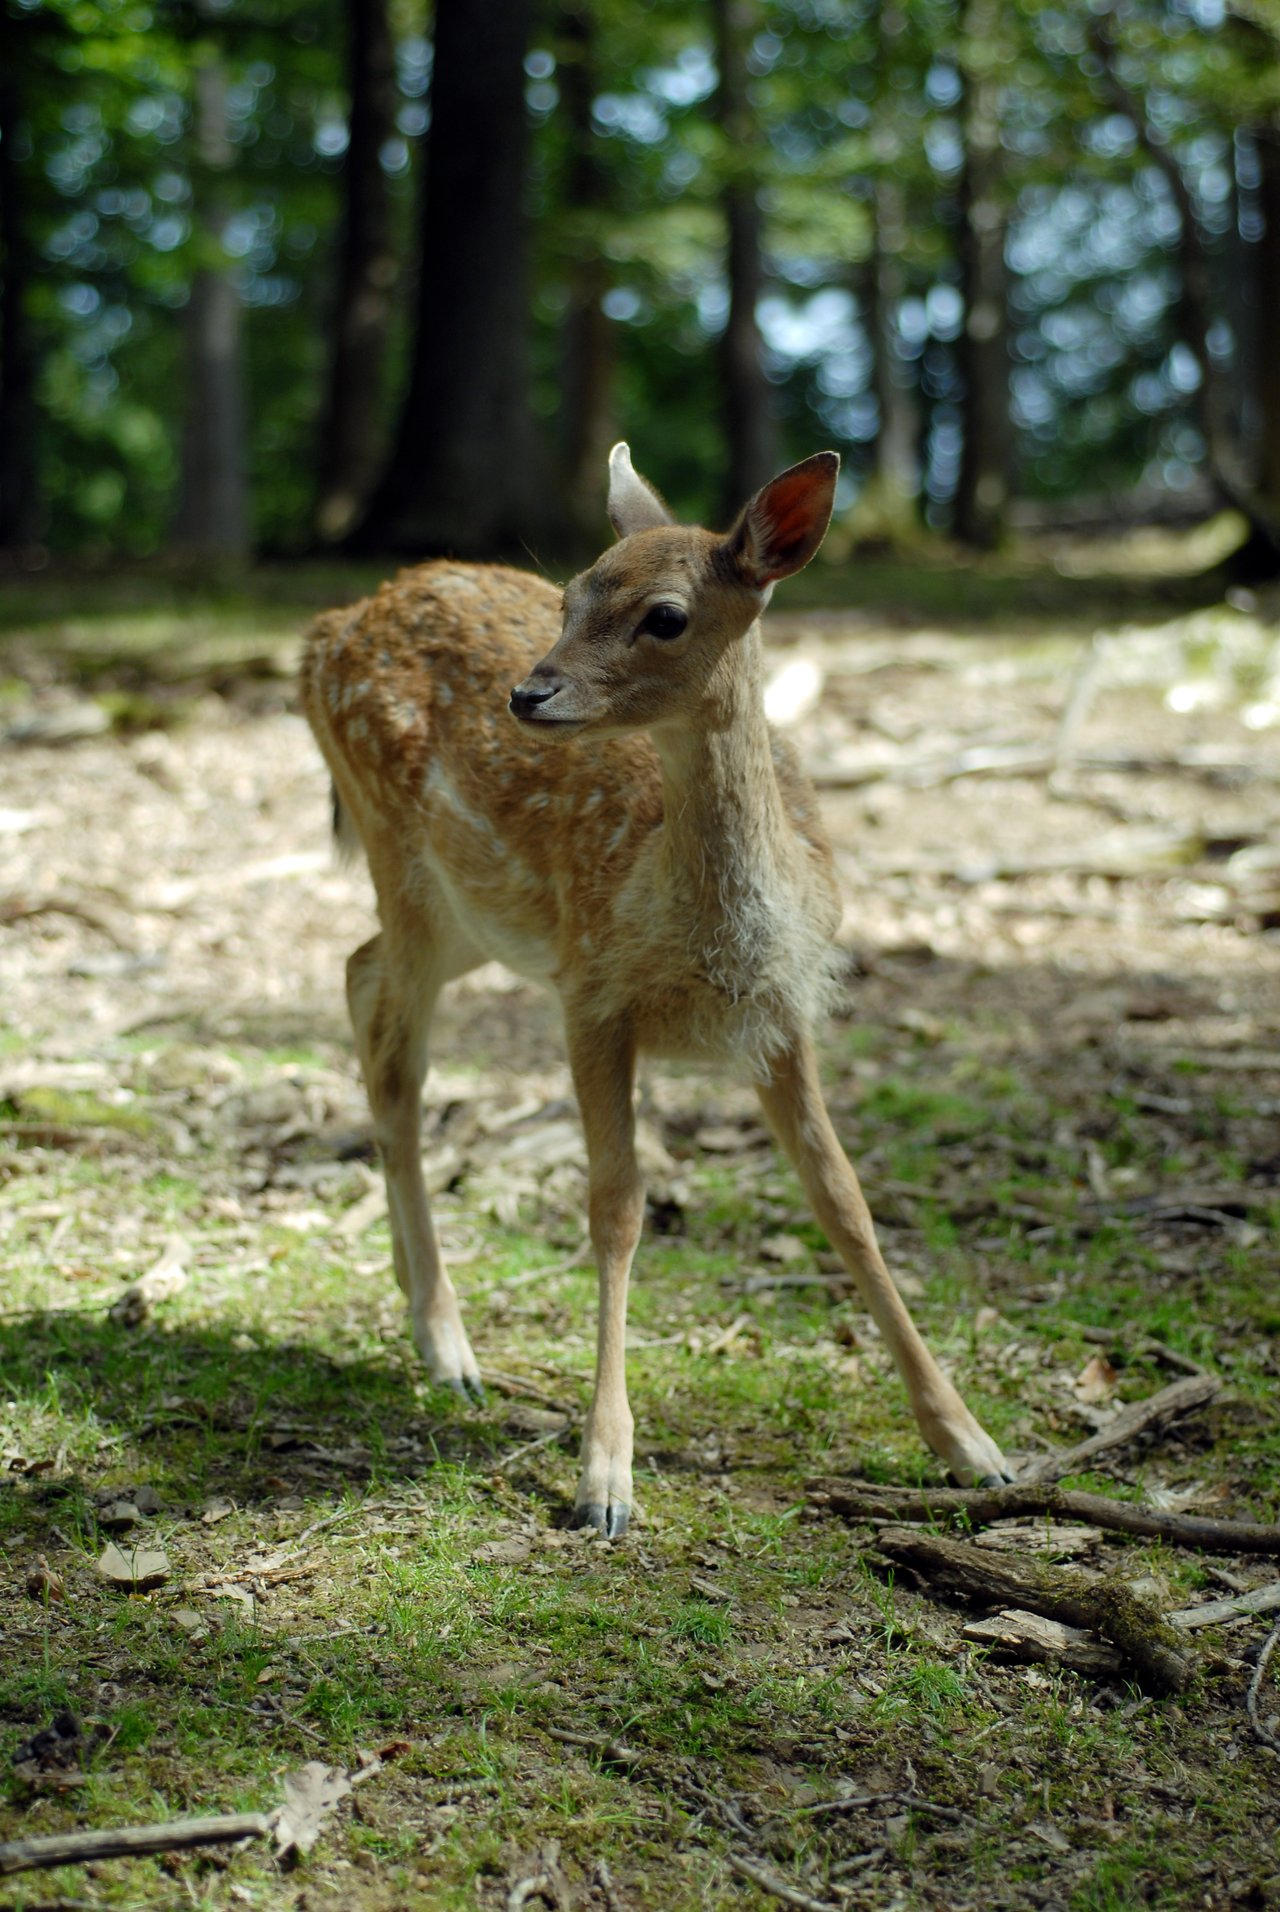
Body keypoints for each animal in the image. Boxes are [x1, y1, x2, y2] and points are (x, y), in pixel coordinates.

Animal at [301, 444, 1013, 1537]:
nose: (529, 694)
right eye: (570, 594)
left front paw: (971, 1444)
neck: (712, 937)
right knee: (393, 1052)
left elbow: (843, 1198)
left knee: (356, 969)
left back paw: (419, 1308)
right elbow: (616, 1205)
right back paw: (448, 1347)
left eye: (665, 615)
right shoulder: (591, 986)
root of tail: (325, 633)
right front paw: (604, 1478)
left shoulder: (783, 1014)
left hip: (467, 915)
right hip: (406, 860)